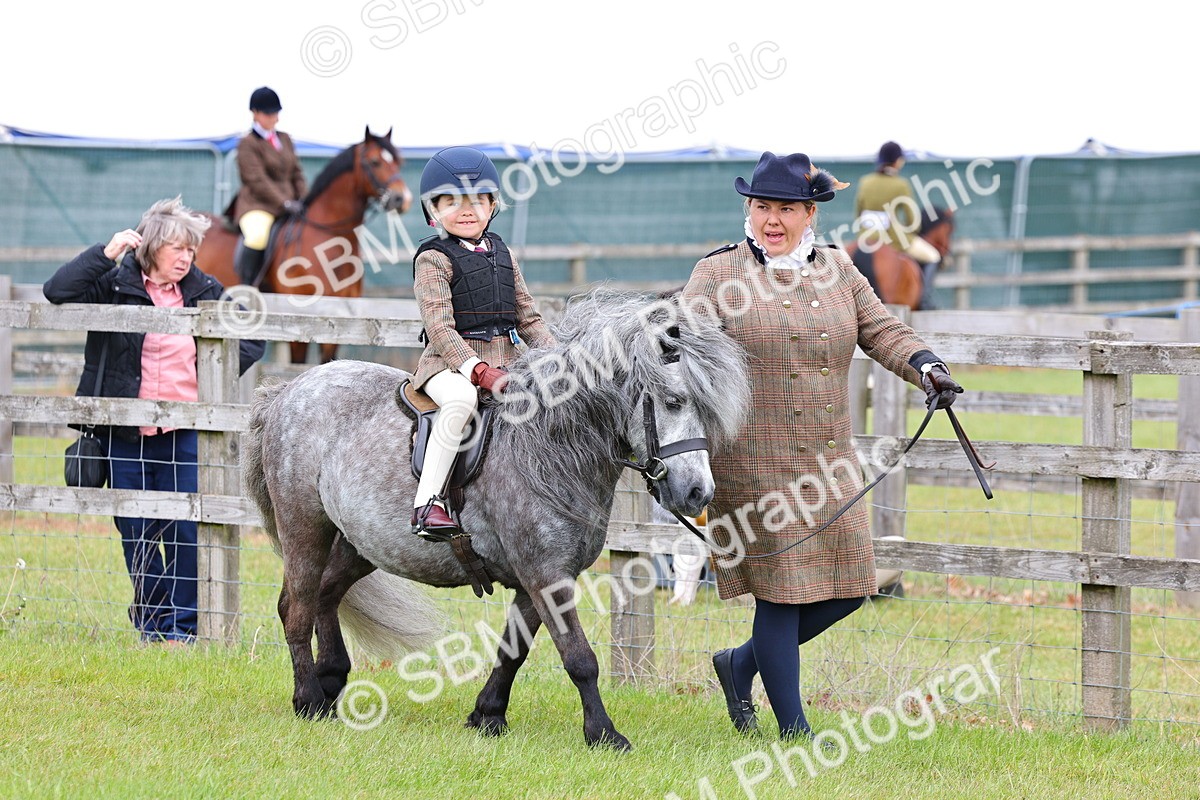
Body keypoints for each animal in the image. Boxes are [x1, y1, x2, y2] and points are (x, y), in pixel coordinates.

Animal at [242, 291, 751, 750]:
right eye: (673, 401)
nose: (698, 493)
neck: (547, 446)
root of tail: (288, 391)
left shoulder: (537, 579)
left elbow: (514, 650)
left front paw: (488, 715)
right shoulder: (546, 575)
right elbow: (579, 657)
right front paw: (604, 733)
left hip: (360, 543)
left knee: (327, 596)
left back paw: (330, 683)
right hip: (305, 528)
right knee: (296, 609)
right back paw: (308, 698)